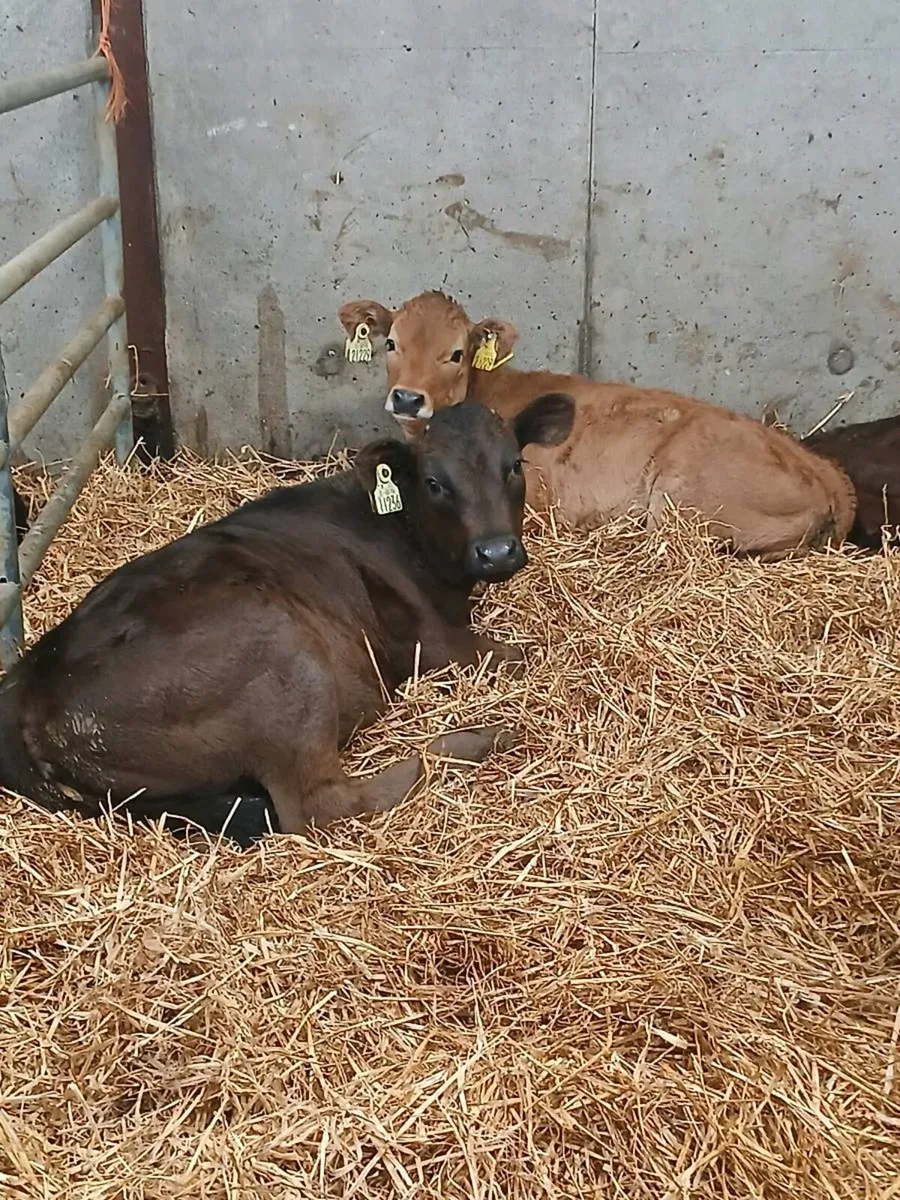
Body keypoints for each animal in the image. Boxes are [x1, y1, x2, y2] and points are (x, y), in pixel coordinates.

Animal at [0, 396, 575, 847]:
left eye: (514, 465)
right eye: (434, 482)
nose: (496, 551)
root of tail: (28, 689)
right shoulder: (430, 641)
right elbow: (525, 655)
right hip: (283, 656)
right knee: (322, 804)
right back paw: (480, 739)